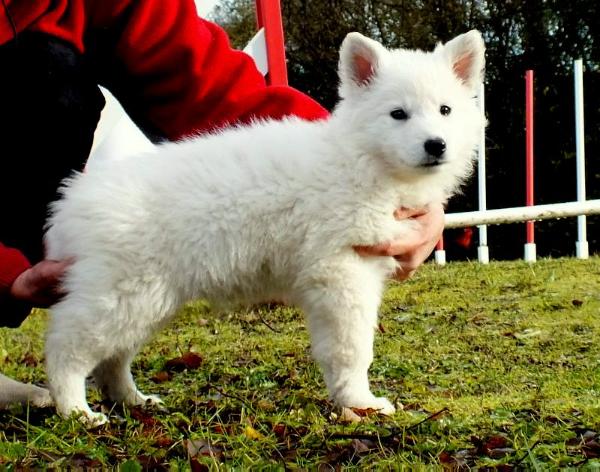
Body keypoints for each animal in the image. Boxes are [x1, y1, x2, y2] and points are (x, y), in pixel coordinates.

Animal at [44, 31, 486, 426]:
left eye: (445, 110)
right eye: (398, 114)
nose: (436, 145)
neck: (362, 159)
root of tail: (71, 203)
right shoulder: (341, 275)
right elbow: (351, 349)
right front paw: (359, 404)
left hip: (148, 301)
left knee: (112, 360)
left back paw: (133, 400)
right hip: (120, 296)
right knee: (66, 347)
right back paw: (76, 411)